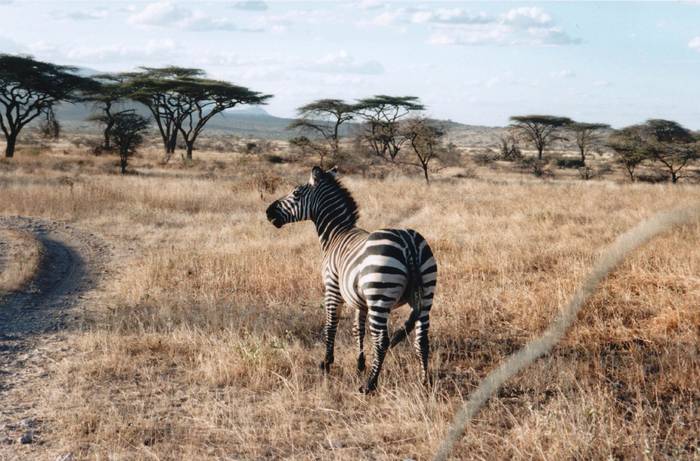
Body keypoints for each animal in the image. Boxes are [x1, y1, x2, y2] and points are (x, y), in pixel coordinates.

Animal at [266, 165, 438, 392]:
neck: (335, 234)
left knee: (382, 341)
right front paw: (359, 364)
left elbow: (330, 326)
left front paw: (326, 363)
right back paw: (424, 382)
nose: (268, 212)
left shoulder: (332, 288)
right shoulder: (360, 300)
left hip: (380, 295)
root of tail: (407, 242)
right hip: (426, 295)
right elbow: (358, 329)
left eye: (295, 193)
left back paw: (370, 385)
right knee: (422, 340)